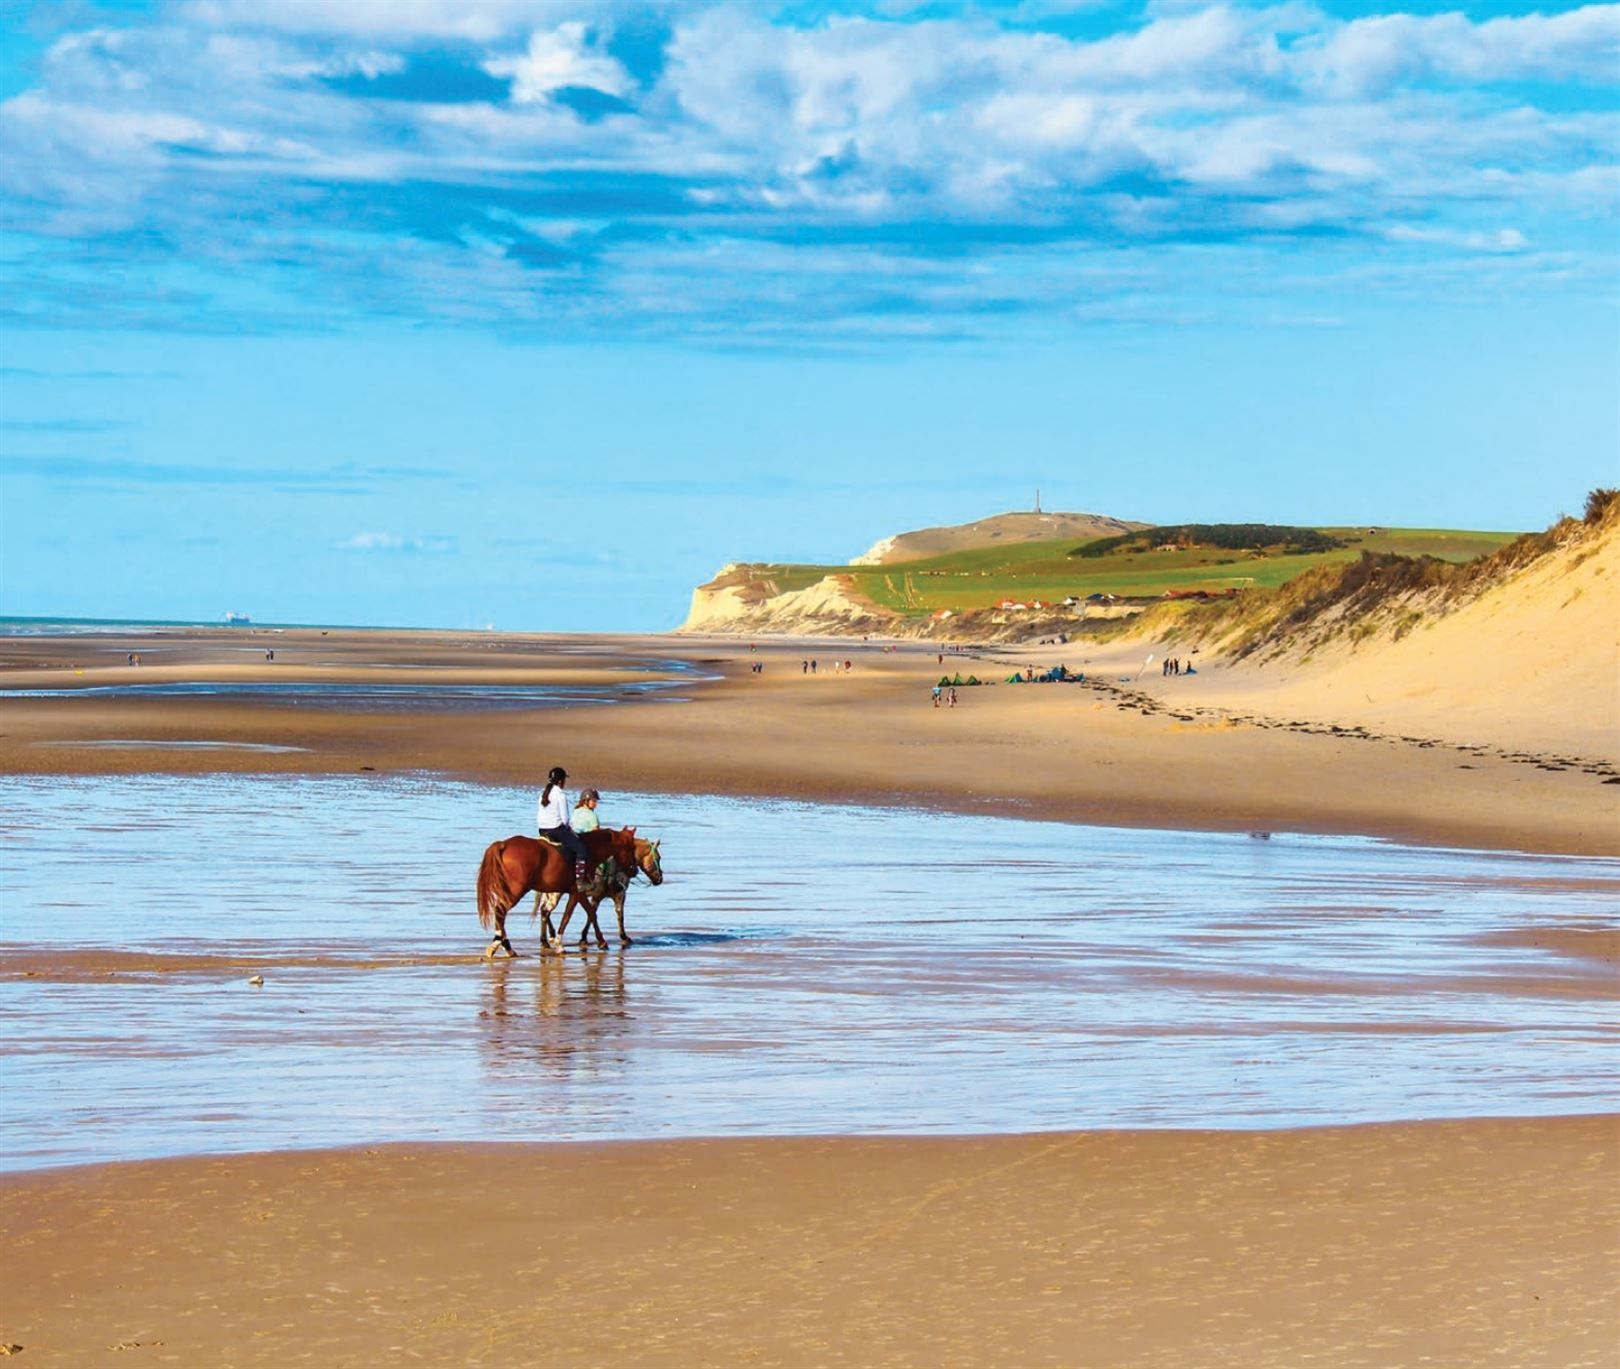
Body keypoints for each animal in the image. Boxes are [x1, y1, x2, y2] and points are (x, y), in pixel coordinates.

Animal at [473, 829, 638, 959]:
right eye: (630, 848)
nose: (634, 870)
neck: (591, 849)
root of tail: (503, 844)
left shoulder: (577, 893)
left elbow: (587, 913)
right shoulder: (578, 891)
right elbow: (573, 915)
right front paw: (561, 944)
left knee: (507, 913)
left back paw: (504, 946)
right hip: (516, 891)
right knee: (501, 911)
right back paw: (504, 946)